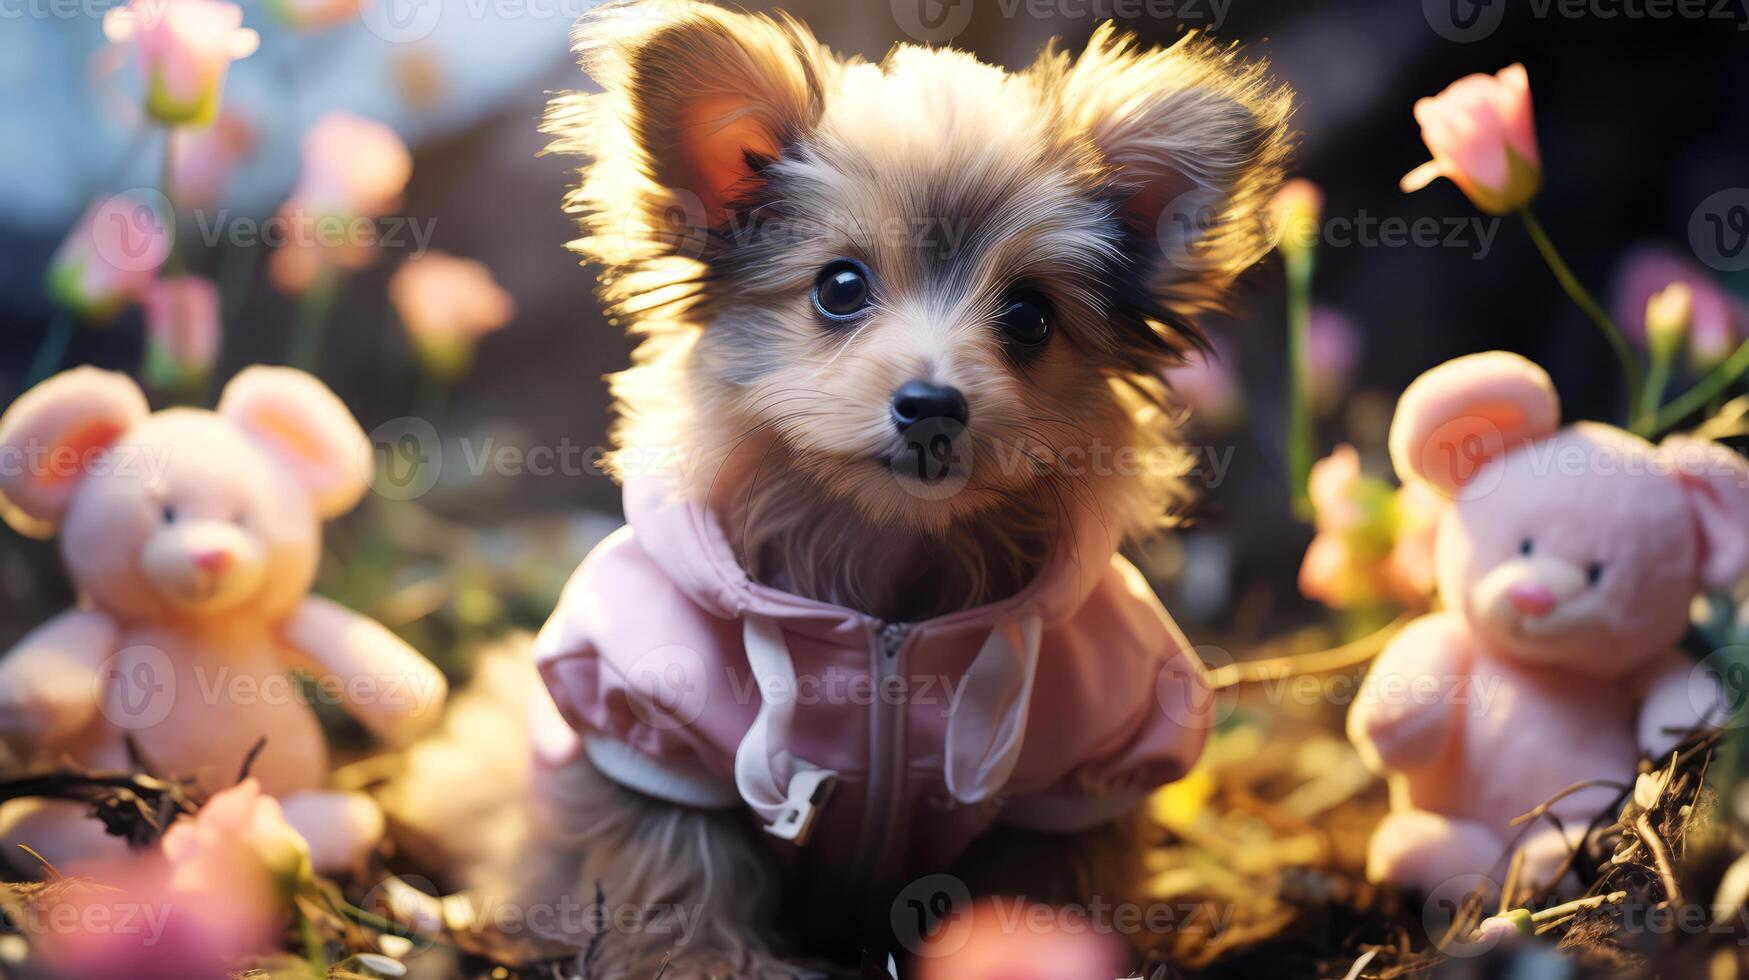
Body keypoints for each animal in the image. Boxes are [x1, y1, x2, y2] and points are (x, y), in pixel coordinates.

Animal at [535, 3, 1301, 973]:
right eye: (839, 287)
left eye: (1029, 316)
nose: (933, 406)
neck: (890, 613)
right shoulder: (654, 726)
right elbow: (680, 870)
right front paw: (705, 964)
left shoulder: (1082, 770)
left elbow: (1049, 886)